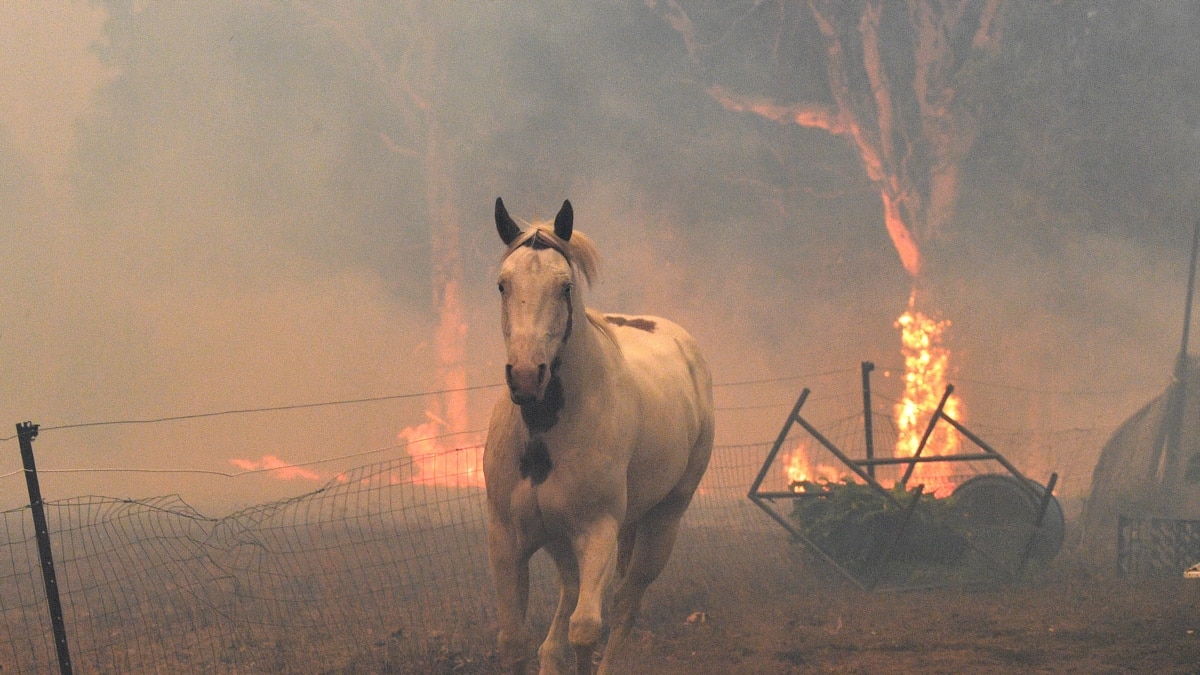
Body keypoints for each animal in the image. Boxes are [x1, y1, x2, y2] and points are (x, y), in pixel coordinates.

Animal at [482, 196, 710, 667]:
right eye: (503, 285)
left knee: (625, 604)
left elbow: (586, 630)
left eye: (565, 287)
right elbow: (514, 640)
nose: (527, 377)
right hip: (563, 542)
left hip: (661, 524)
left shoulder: (597, 531)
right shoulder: (506, 539)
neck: (544, 432)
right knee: (565, 612)